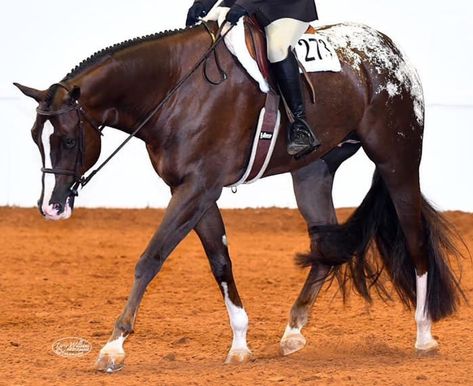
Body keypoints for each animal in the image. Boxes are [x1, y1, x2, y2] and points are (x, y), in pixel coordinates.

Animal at [13, 19, 460, 372]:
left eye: (69, 141)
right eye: (36, 137)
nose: (51, 208)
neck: (177, 88)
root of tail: (388, 48)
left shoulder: (196, 188)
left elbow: (150, 258)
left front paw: (113, 346)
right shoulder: (195, 191)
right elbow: (220, 262)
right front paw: (241, 344)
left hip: (397, 161)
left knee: (415, 241)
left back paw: (424, 335)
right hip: (312, 174)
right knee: (326, 247)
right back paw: (293, 332)